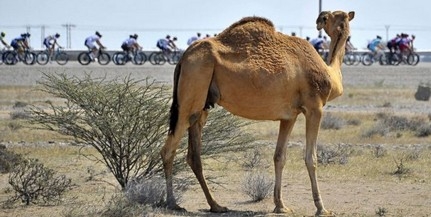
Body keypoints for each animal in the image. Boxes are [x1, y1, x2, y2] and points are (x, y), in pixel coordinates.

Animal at [160, 9, 356, 215]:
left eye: (332, 16)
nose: (320, 18)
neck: (330, 74)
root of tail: (183, 58)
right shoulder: (314, 107)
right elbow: (311, 158)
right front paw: (321, 208)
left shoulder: (289, 115)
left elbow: (279, 157)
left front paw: (280, 205)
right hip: (192, 88)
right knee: (169, 149)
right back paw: (173, 203)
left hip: (201, 105)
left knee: (194, 154)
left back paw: (216, 205)